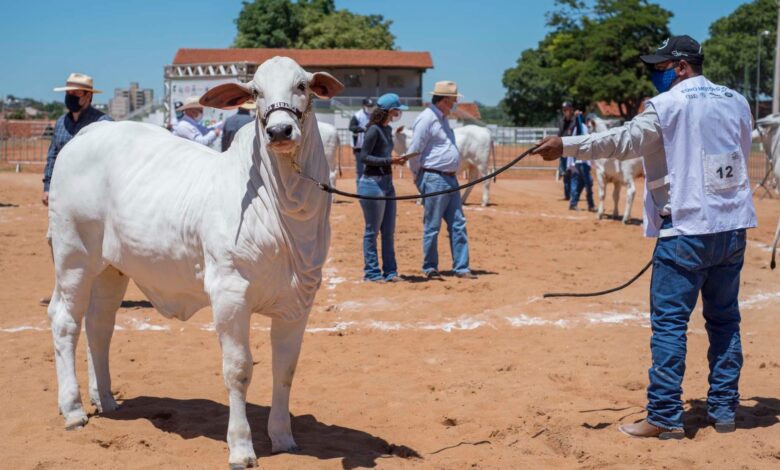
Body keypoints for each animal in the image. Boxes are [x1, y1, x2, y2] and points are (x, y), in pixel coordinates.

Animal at [46, 57, 344, 468]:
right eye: (255, 92)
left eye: (302, 85)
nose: (279, 130)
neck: (286, 210)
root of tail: (89, 133)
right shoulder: (230, 295)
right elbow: (238, 370)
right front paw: (241, 447)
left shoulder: (298, 302)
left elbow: (285, 370)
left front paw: (283, 437)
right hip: (73, 254)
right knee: (65, 321)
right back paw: (73, 409)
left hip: (112, 268)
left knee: (99, 325)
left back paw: (105, 399)